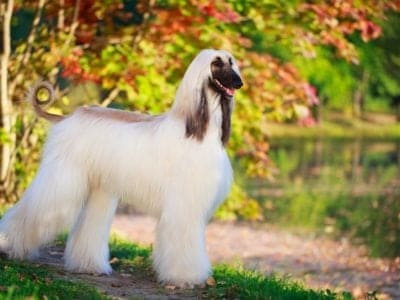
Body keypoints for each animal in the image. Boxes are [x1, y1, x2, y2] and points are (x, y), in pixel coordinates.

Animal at [0, 48, 244, 286]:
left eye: (232, 62)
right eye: (216, 63)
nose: (239, 82)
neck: (199, 128)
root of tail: (67, 117)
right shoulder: (184, 204)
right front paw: (186, 277)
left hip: (99, 187)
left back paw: (88, 265)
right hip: (62, 178)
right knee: (35, 209)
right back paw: (9, 245)